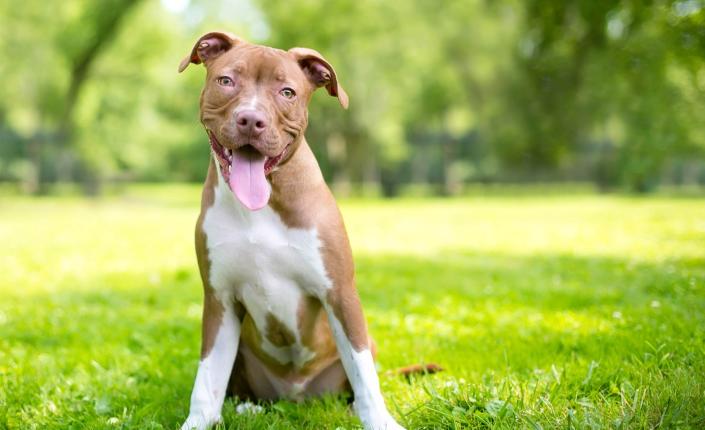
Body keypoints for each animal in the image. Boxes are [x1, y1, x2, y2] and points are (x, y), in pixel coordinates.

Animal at [177, 31, 402, 430]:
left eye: (287, 92)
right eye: (226, 81)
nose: (251, 119)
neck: (263, 204)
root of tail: (296, 398)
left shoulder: (339, 293)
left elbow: (362, 372)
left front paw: (379, 420)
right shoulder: (219, 300)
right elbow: (207, 380)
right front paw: (198, 422)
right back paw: (248, 408)